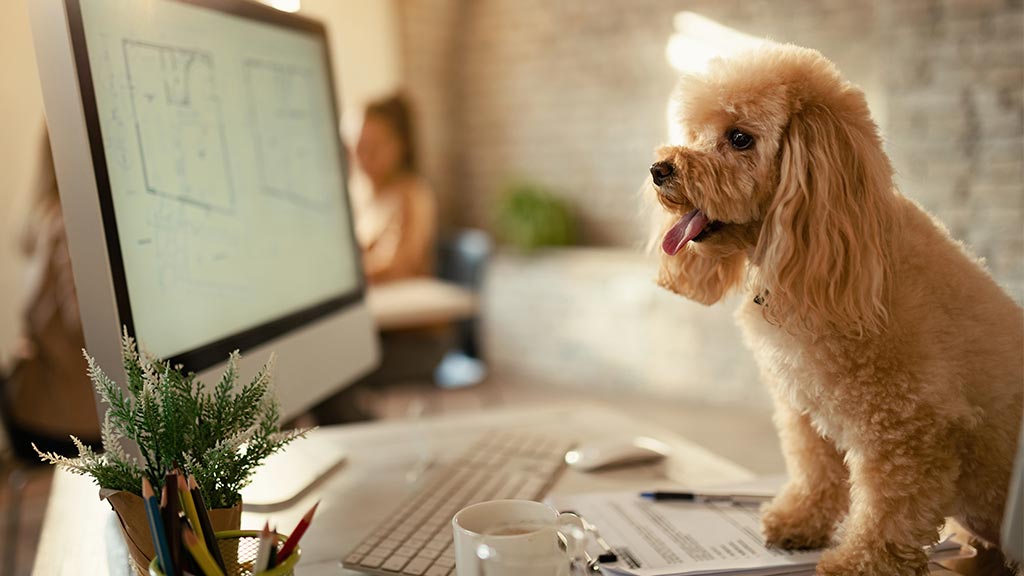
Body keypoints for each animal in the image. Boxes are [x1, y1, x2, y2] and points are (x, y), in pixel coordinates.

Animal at [647, 44, 1024, 573]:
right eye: (696, 133)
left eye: (740, 139)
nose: (660, 169)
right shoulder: (805, 411)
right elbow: (815, 470)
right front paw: (799, 523)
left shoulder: (907, 430)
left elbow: (889, 508)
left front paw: (860, 562)